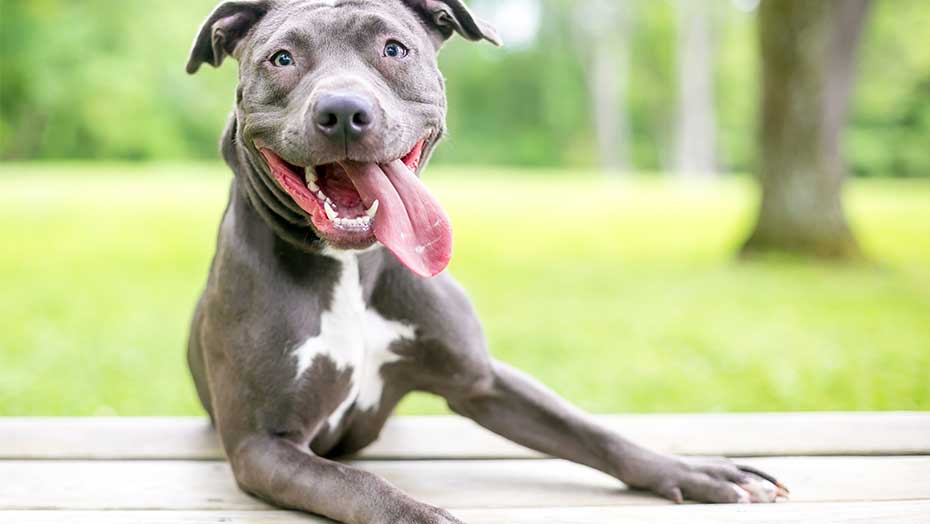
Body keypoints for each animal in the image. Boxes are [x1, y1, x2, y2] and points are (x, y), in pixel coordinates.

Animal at [185, 1, 788, 520]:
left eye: (394, 49)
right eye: (282, 58)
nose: (344, 111)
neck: (351, 268)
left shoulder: (482, 380)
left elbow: (593, 432)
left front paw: (696, 471)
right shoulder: (263, 445)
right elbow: (355, 482)